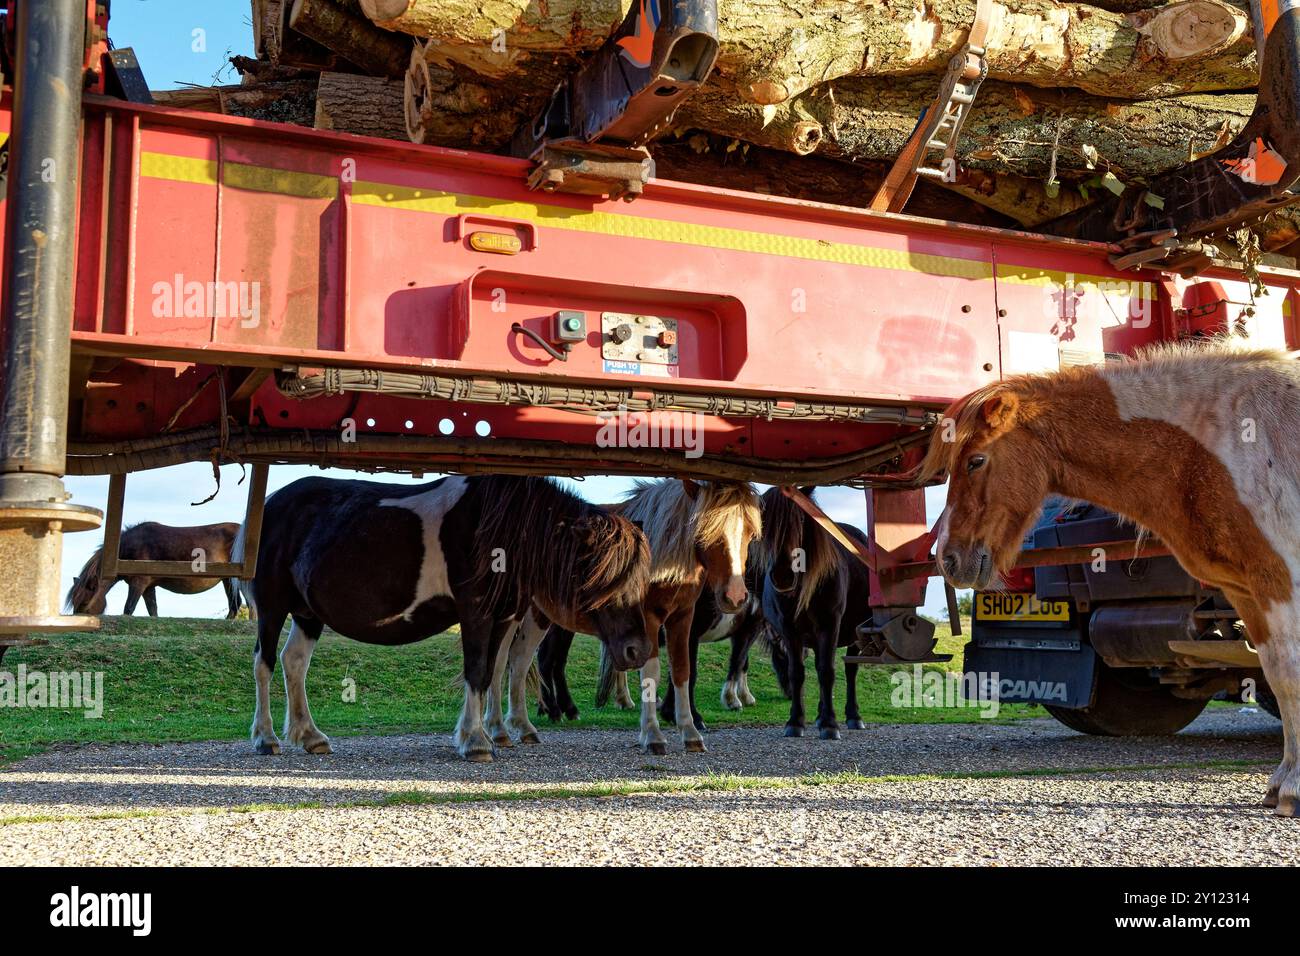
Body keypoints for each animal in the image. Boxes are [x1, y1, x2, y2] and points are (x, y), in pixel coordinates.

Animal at [65, 522, 244, 621]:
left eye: (85, 603)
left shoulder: (138, 583)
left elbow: (128, 609)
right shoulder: (148, 587)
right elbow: (153, 610)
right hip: (228, 580)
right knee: (235, 603)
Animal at [240, 476, 655, 764]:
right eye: (604, 576)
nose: (637, 650)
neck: (502, 530)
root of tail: (272, 504)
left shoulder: (502, 618)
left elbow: (491, 673)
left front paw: (487, 735)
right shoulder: (476, 613)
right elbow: (477, 672)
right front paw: (475, 742)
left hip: (308, 613)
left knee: (294, 663)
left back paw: (311, 736)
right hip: (274, 607)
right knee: (264, 663)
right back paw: (266, 738)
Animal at [527, 478, 759, 754]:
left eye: (750, 533)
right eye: (704, 531)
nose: (735, 596)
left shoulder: (683, 617)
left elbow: (682, 670)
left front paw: (689, 731)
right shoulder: (648, 619)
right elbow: (651, 672)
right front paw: (653, 734)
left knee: (553, 661)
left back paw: (564, 710)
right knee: (540, 660)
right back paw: (548, 712)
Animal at [759, 486, 868, 738]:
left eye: (800, 519)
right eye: (763, 522)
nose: (782, 574)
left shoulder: (830, 624)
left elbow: (827, 671)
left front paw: (829, 724)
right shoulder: (789, 630)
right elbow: (797, 672)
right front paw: (795, 721)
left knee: (850, 670)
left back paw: (852, 716)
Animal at [925, 340, 1300, 816]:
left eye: (975, 461)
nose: (949, 559)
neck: (1220, 444)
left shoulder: (1279, 579)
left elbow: (1288, 674)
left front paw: (1293, 788)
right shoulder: (1249, 592)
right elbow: (1277, 675)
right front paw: (1281, 783)